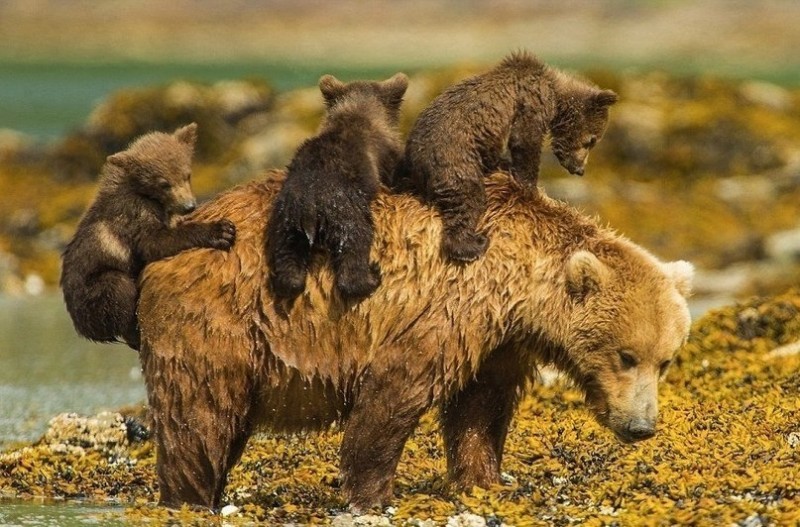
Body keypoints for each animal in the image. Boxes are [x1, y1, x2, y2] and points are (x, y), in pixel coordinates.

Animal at [61, 123, 236, 350]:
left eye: (187, 175)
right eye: (164, 183)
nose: (189, 206)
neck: (145, 194)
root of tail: (82, 329)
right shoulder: (133, 214)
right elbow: (155, 242)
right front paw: (222, 230)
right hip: (90, 296)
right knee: (117, 287)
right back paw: (135, 333)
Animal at [134, 169, 692, 512]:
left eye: (665, 361)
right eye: (626, 355)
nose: (641, 426)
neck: (519, 290)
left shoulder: (498, 343)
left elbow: (479, 410)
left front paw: (485, 480)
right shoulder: (446, 307)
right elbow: (394, 393)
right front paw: (373, 492)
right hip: (222, 319)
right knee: (199, 416)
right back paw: (190, 496)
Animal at [268, 73, 406, 302]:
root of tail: (310, 206)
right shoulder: (386, 158)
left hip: (287, 219)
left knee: (288, 254)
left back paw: (285, 281)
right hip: (345, 211)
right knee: (356, 242)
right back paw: (372, 277)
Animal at [400, 51, 620, 262]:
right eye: (591, 140)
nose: (580, 169)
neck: (556, 98)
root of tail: (414, 161)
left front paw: (504, 165)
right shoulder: (530, 102)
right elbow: (525, 141)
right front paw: (530, 188)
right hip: (455, 161)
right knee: (469, 199)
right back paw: (472, 245)